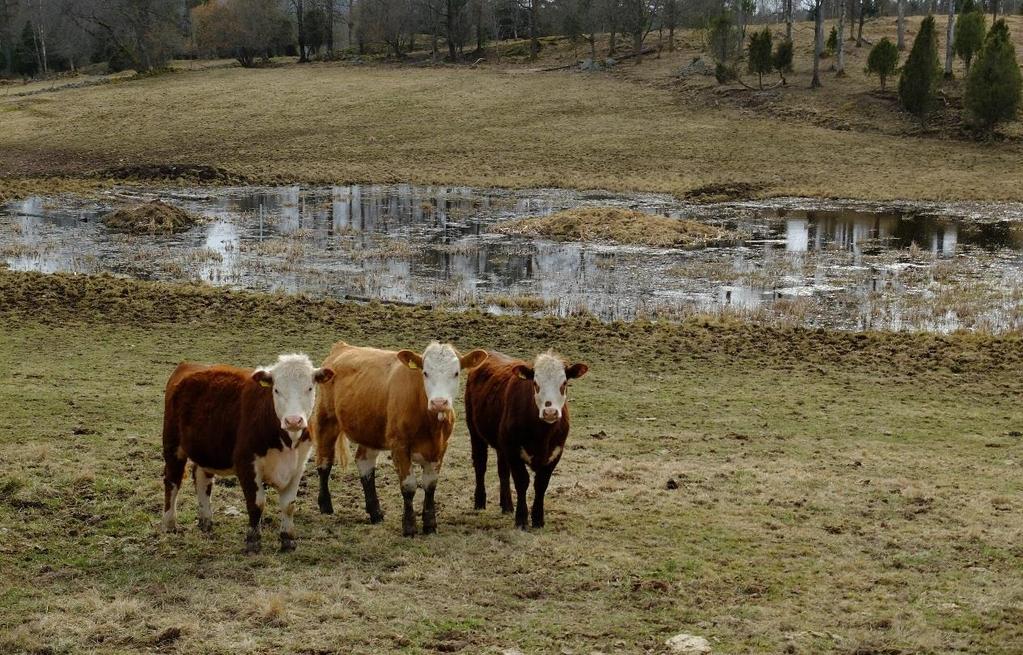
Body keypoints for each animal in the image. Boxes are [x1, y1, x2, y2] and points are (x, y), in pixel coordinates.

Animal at [160, 352, 335, 552]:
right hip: (173, 445)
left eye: (309, 388)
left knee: (202, 479)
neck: (286, 442)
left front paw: (288, 539)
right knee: (172, 481)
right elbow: (256, 503)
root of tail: (189, 365)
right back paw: (169, 523)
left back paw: (206, 520)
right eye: (276, 390)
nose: (293, 420)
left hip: (206, 448)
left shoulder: (298, 466)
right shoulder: (246, 463)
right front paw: (253, 540)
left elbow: (289, 505)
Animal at [310, 339, 486, 536]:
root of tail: (342, 347)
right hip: (326, 420)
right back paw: (325, 505)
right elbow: (408, 486)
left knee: (364, 463)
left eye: (456, 373)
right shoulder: (400, 446)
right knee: (324, 462)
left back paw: (375, 513)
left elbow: (430, 485)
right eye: (425, 372)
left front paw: (430, 524)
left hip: (370, 429)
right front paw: (409, 526)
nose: (439, 403)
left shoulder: (440, 448)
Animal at [466, 350, 589, 528]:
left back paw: (507, 505)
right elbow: (522, 481)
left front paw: (538, 519)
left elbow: (541, 484)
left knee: (503, 471)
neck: (542, 435)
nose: (550, 412)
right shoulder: (513, 450)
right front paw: (522, 518)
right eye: (535, 383)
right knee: (480, 465)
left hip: (501, 444)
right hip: (475, 431)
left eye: (564, 382)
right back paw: (480, 502)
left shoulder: (555, 452)